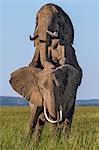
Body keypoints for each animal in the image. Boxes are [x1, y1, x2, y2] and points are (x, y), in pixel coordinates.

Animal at [9, 3, 82, 142]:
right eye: (36, 20)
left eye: (56, 22)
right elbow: (33, 117)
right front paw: (26, 143)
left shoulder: (67, 47)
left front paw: (55, 143)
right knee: (40, 123)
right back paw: (37, 142)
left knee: (68, 118)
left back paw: (65, 140)